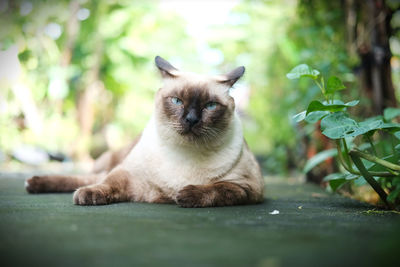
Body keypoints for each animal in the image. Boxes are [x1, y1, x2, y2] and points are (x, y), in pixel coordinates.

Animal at [23, 55, 264, 208]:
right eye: (177, 101)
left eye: (210, 106)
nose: (191, 120)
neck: (184, 154)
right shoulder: (127, 174)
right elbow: (106, 184)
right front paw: (88, 196)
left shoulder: (247, 187)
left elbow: (218, 189)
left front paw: (185, 195)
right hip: (109, 160)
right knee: (87, 179)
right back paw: (34, 184)